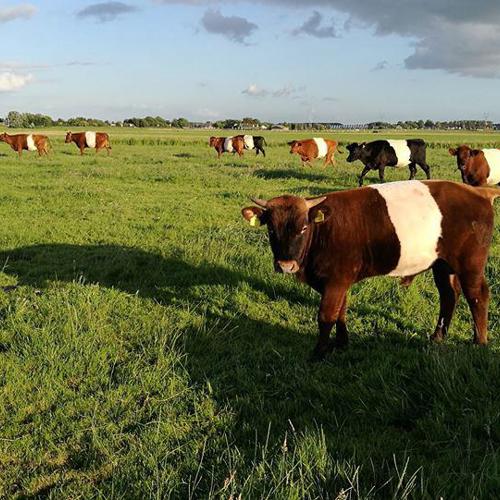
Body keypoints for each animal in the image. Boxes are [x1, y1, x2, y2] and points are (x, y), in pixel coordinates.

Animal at [241, 182, 496, 362]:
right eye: (271, 229)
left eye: (303, 227)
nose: (285, 265)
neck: (324, 230)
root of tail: (478, 191)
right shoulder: (339, 282)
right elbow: (341, 312)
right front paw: (342, 343)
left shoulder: (336, 281)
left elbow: (326, 316)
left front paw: (319, 352)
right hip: (442, 264)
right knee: (449, 295)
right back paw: (438, 337)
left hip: (470, 264)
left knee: (477, 296)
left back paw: (480, 341)